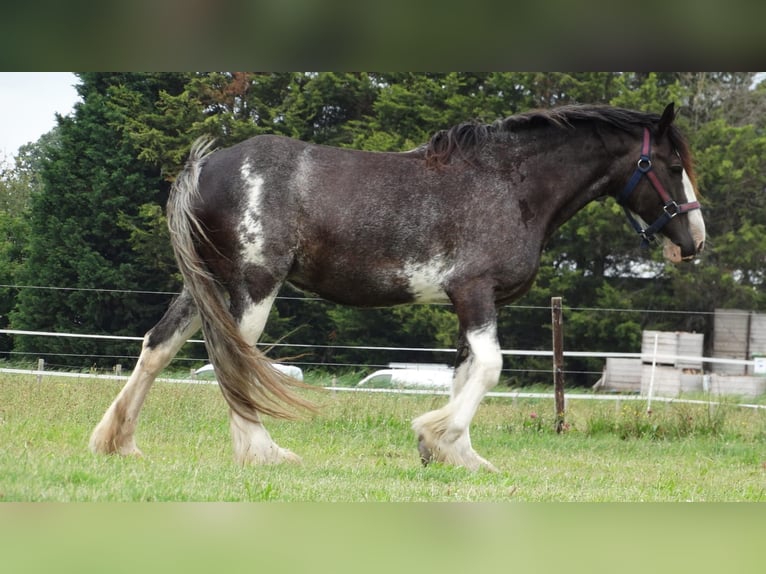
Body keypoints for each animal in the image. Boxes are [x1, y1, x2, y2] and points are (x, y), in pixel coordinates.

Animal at [90, 103, 708, 472]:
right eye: (672, 165)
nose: (694, 239)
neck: (509, 185)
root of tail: (205, 168)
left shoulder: (468, 306)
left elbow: (465, 373)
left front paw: (457, 455)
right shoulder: (474, 293)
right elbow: (489, 368)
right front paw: (436, 437)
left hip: (209, 286)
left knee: (158, 347)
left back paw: (117, 441)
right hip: (251, 286)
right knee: (234, 364)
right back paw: (263, 452)